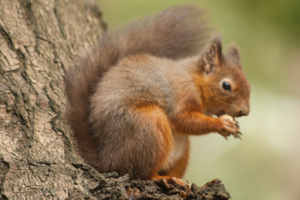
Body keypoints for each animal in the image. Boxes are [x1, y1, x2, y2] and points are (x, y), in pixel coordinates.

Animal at [65, 4, 251, 186]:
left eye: (249, 86)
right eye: (226, 86)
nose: (245, 111)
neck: (194, 79)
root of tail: (109, 161)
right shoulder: (182, 94)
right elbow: (182, 119)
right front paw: (221, 124)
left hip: (180, 151)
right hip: (148, 126)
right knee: (141, 173)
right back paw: (161, 178)